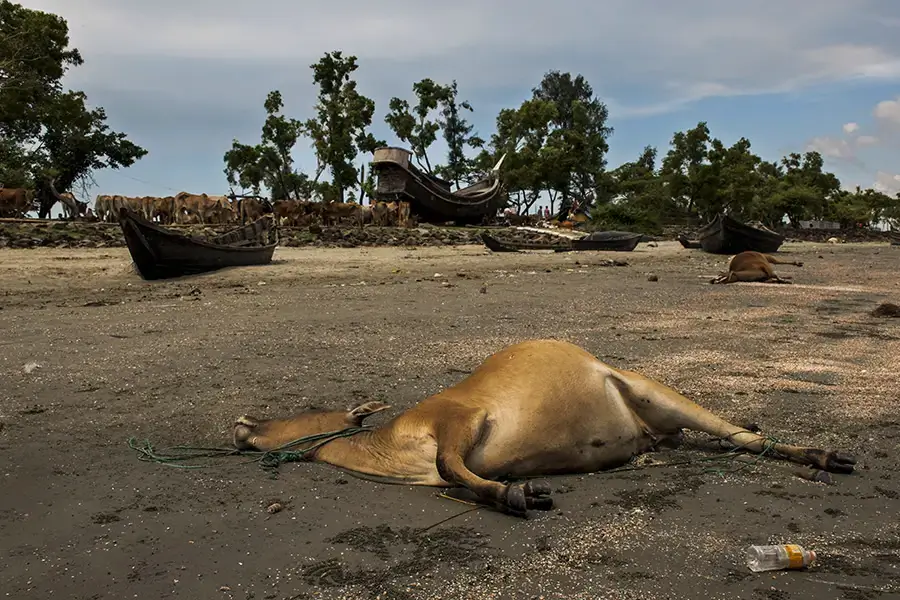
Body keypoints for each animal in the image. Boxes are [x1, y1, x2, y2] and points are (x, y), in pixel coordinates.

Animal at [230, 338, 852, 516]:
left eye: (299, 411)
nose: (240, 422)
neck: (388, 449)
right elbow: (452, 477)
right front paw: (512, 491)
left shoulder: (458, 417)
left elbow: (450, 465)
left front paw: (516, 493)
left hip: (652, 389)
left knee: (743, 437)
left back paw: (823, 455)